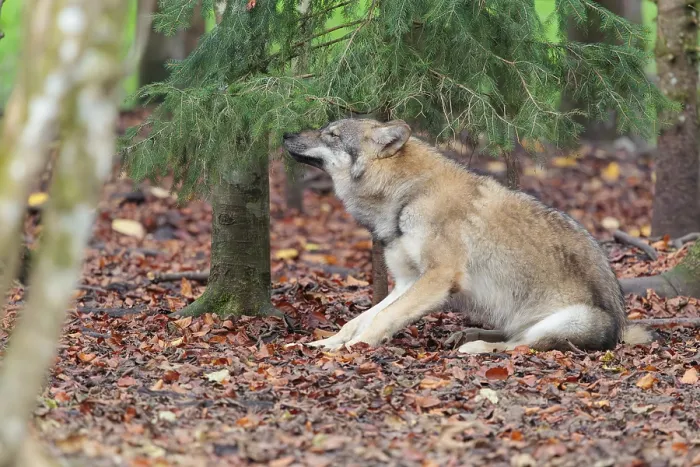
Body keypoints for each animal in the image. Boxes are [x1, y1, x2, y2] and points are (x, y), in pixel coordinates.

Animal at [282, 118, 653, 353]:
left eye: (331, 135)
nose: (284, 134)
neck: (410, 193)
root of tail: (621, 332)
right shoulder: (405, 282)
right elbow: (360, 319)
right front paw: (328, 343)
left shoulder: (438, 277)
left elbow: (381, 318)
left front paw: (352, 349)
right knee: (511, 336)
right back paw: (465, 333)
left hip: (568, 320)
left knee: (518, 346)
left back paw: (473, 345)